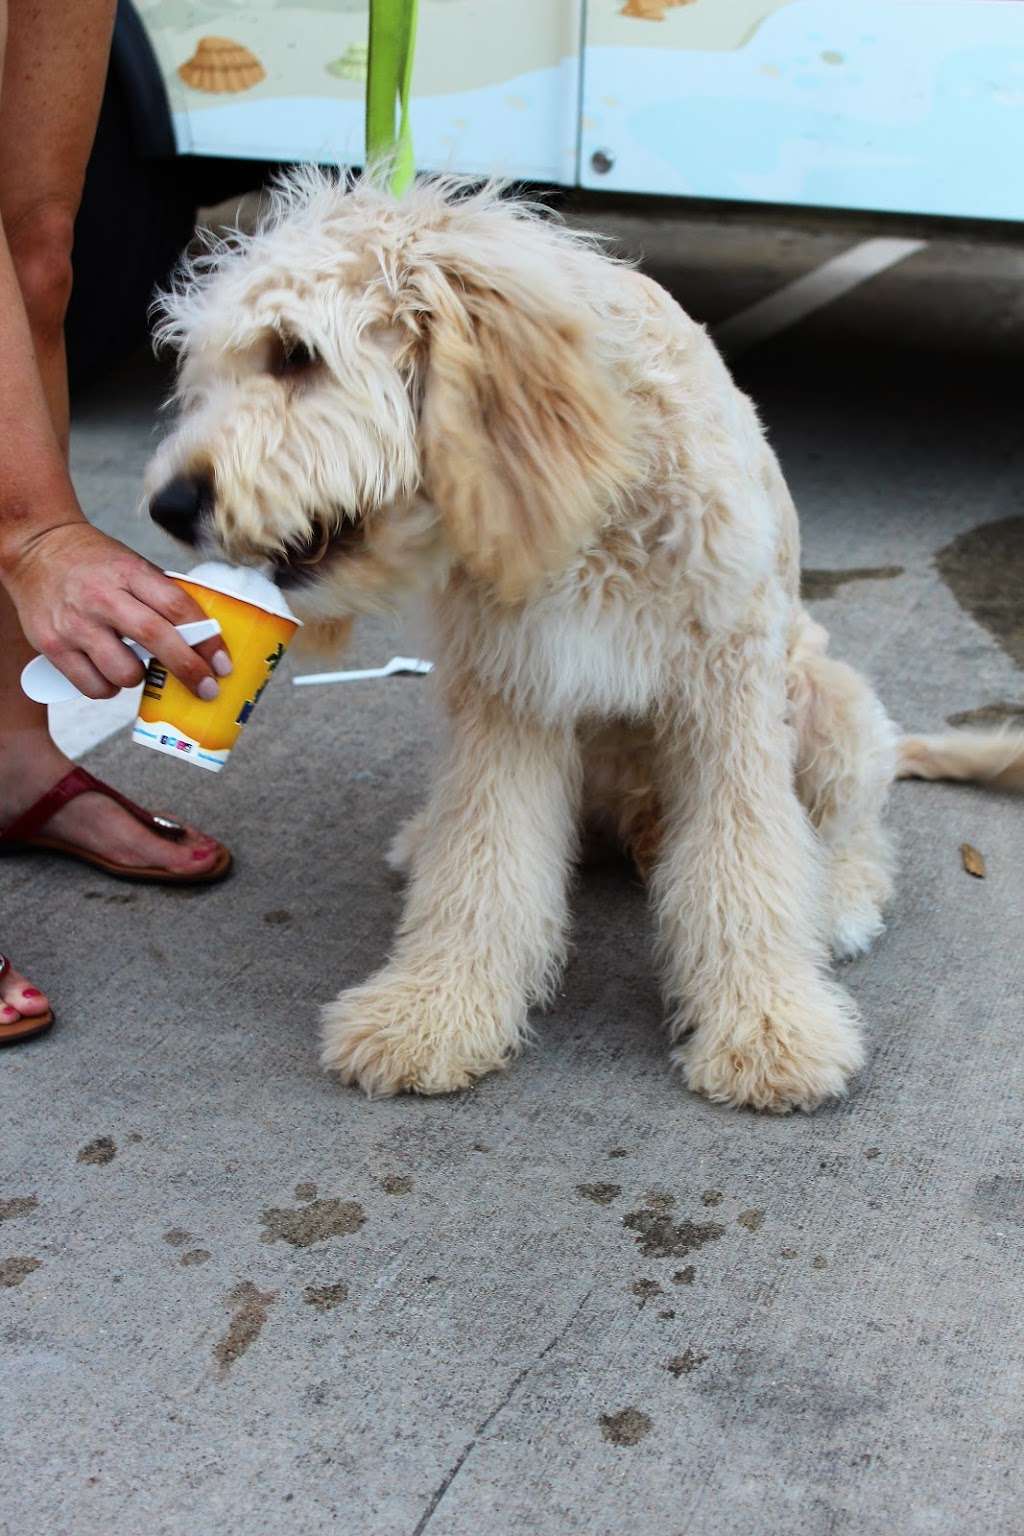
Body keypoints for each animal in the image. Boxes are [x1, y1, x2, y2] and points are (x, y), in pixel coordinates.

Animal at [145, 171, 1024, 1118]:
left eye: (294, 355)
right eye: (205, 372)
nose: (169, 506)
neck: (588, 477)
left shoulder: (726, 700)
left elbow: (746, 860)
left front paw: (769, 1028)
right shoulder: (509, 694)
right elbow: (485, 859)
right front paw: (434, 1012)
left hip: (832, 701)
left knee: (852, 830)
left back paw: (840, 898)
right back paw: (430, 840)